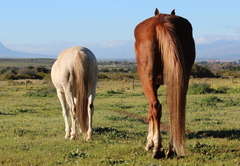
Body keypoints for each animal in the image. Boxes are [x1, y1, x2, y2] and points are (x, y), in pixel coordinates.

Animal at [134, 8, 196, 159]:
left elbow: (150, 111)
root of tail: (161, 22)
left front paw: (150, 143)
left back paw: (158, 148)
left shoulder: (153, 83)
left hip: (147, 80)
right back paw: (172, 148)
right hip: (181, 77)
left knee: (156, 106)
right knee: (177, 107)